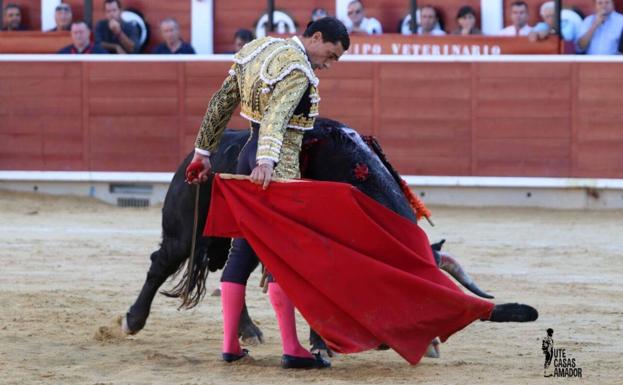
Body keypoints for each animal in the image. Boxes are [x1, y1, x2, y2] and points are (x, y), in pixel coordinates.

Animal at [120, 116, 492, 344]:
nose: (427, 342)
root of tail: (195, 159)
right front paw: (321, 342)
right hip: (185, 232)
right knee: (160, 262)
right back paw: (133, 320)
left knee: (231, 275)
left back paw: (248, 330)